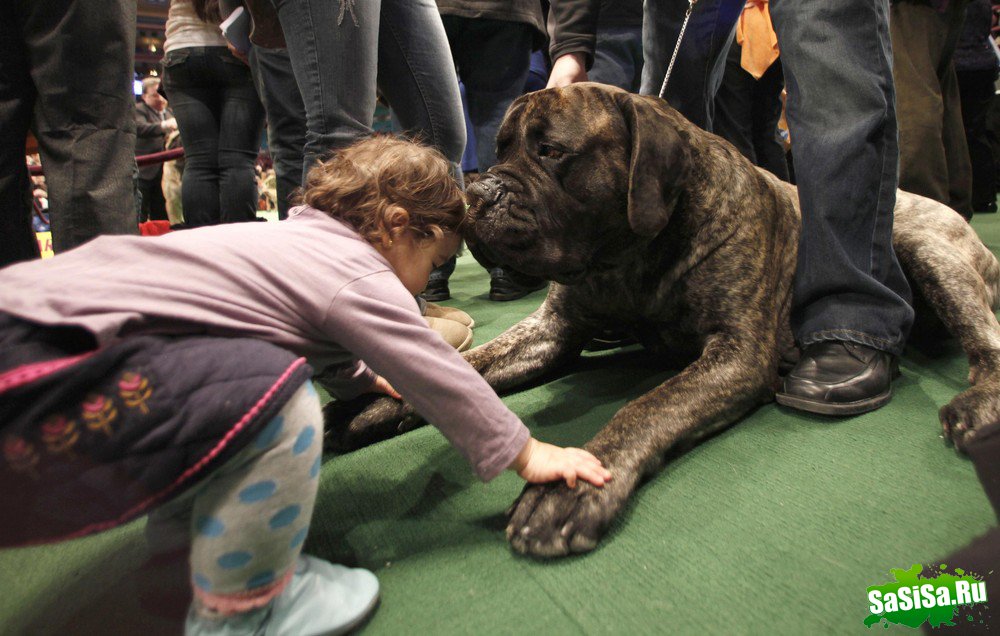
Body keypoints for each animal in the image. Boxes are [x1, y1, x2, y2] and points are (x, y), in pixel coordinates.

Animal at [328, 83, 1000, 556]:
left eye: (552, 151)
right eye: (501, 151)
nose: (478, 194)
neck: (629, 256)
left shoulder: (736, 353)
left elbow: (645, 408)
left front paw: (571, 489)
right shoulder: (549, 333)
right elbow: (466, 366)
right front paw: (372, 405)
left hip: (924, 247)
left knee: (987, 342)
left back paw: (976, 408)